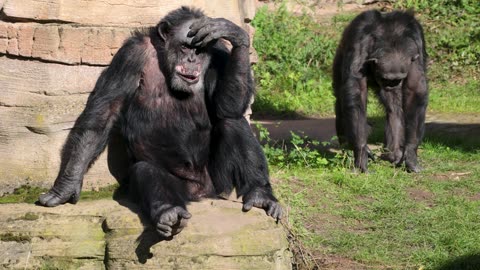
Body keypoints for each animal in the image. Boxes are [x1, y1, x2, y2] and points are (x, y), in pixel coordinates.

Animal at [40, 6, 284, 237]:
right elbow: (103, 114)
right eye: (185, 47)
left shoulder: (222, 54)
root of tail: (203, 194)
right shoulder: (130, 55)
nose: (192, 60)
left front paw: (234, 33)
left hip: (220, 183)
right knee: (146, 170)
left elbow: (226, 107)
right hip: (182, 187)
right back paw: (170, 213)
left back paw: (260, 194)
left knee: (233, 122)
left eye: (200, 50)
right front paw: (66, 186)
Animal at [332, 10, 430, 173]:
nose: (391, 86)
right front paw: (361, 153)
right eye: (386, 78)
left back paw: (393, 153)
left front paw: (410, 153)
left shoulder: (416, 41)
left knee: (394, 108)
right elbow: (357, 89)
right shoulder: (359, 39)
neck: (390, 36)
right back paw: (346, 146)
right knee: (341, 99)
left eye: (397, 79)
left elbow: (415, 89)